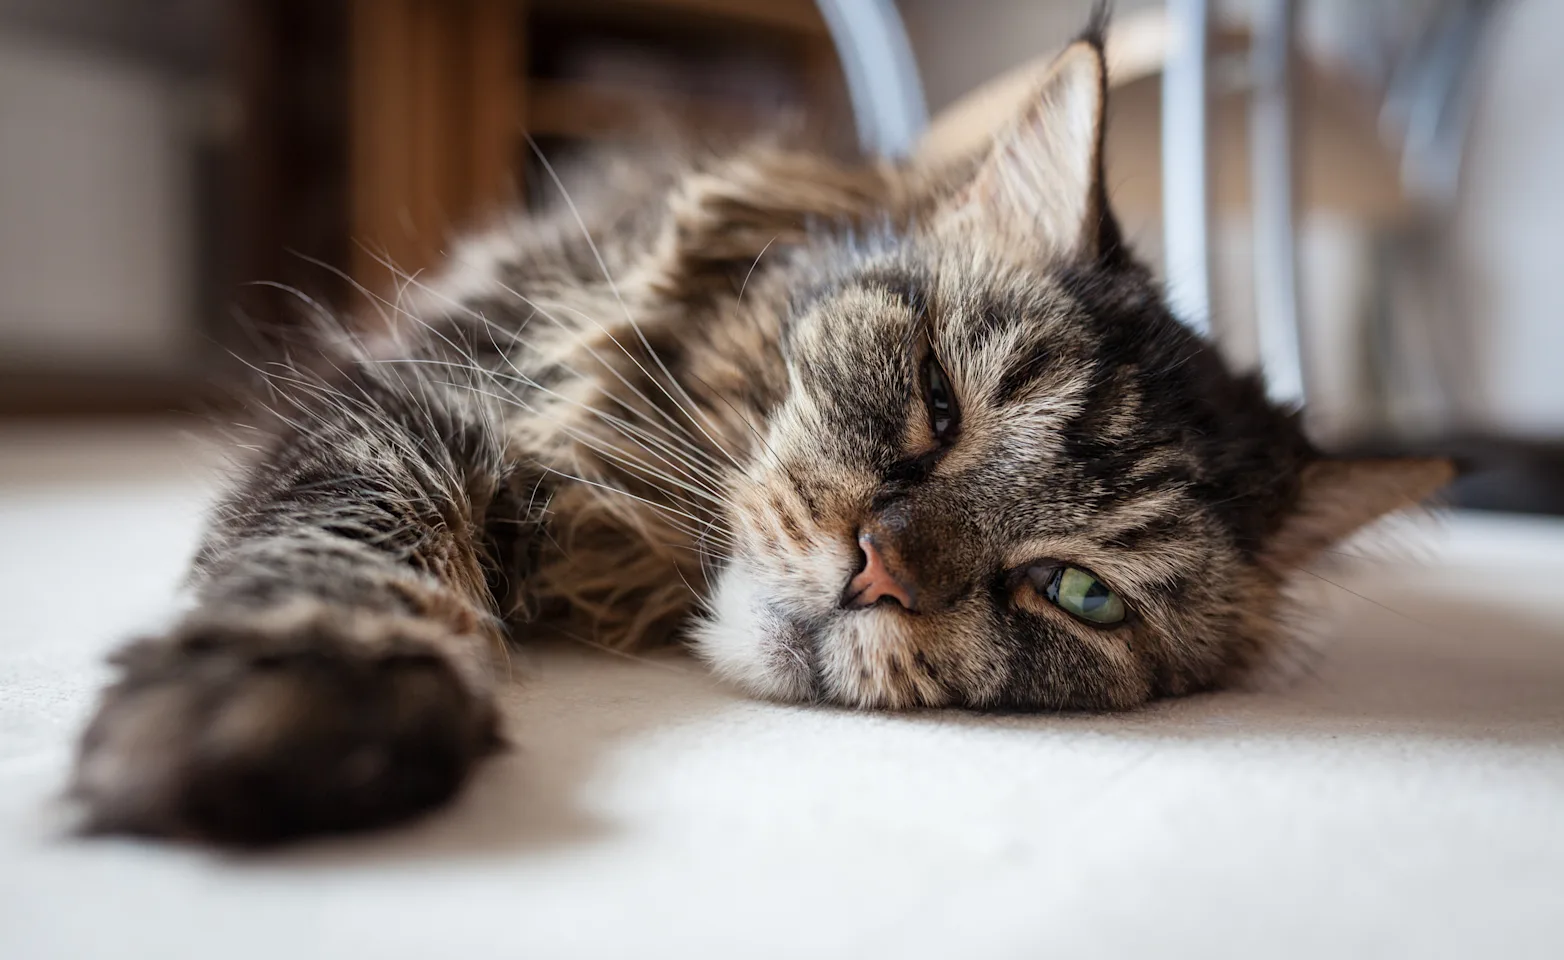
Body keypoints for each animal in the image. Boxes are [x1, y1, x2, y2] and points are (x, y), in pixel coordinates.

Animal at [67, 22, 1445, 844]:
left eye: (1078, 593)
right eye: (937, 399)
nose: (877, 567)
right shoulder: (424, 394)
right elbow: (355, 532)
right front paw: (298, 692)